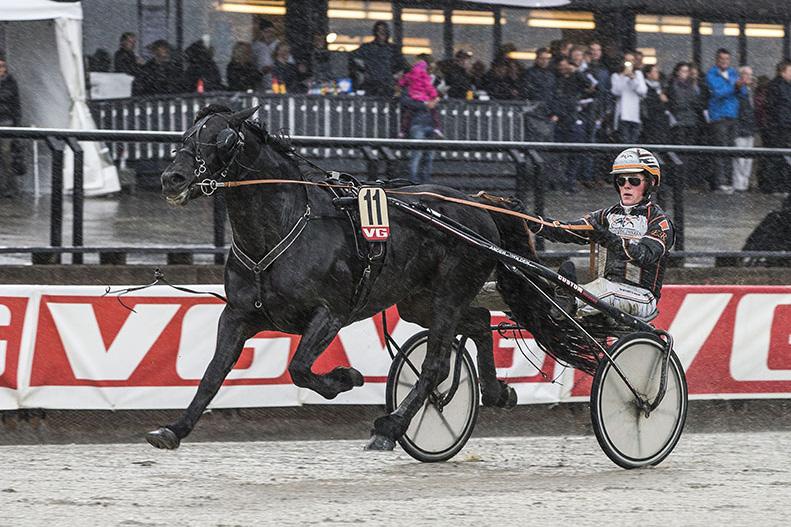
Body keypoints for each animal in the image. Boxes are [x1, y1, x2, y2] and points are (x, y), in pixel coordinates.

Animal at [149, 105, 516, 452]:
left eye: (222, 139)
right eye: (186, 136)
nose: (173, 178)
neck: (284, 226)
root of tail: (480, 207)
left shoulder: (331, 312)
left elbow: (299, 368)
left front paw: (346, 377)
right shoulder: (237, 314)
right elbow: (213, 374)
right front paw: (174, 429)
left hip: (448, 295)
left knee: (436, 366)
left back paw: (390, 427)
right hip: (419, 302)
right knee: (480, 320)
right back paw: (496, 391)